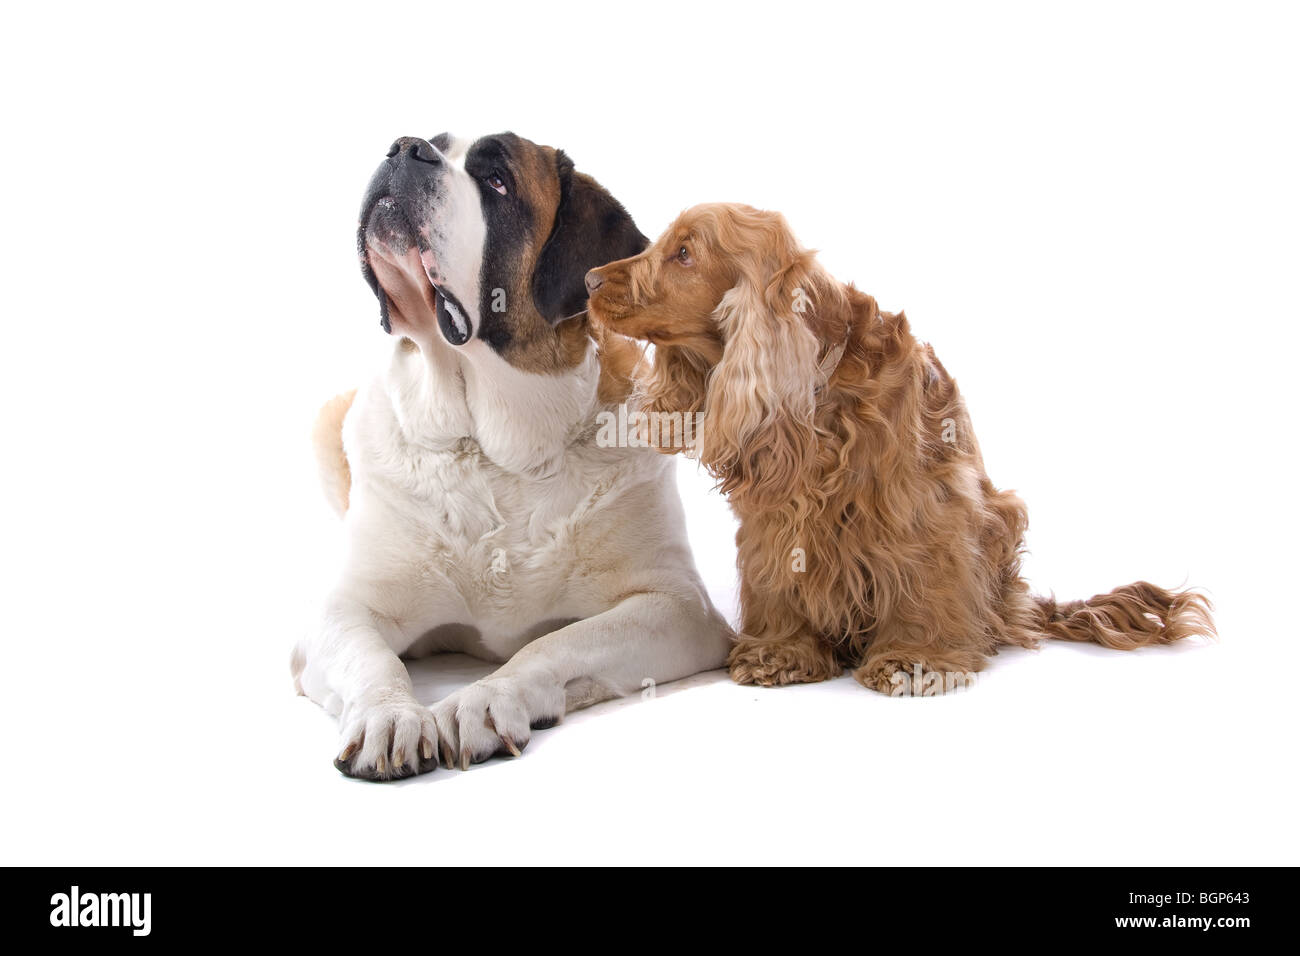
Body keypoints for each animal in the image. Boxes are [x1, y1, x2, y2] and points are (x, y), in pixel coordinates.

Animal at [292, 132, 733, 780]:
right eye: (433, 142)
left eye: (497, 181)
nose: (405, 146)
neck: (497, 451)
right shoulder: (343, 610)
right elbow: (372, 660)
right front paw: (389, 716)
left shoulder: (678, 609)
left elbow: (553, 644)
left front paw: (483, 699)